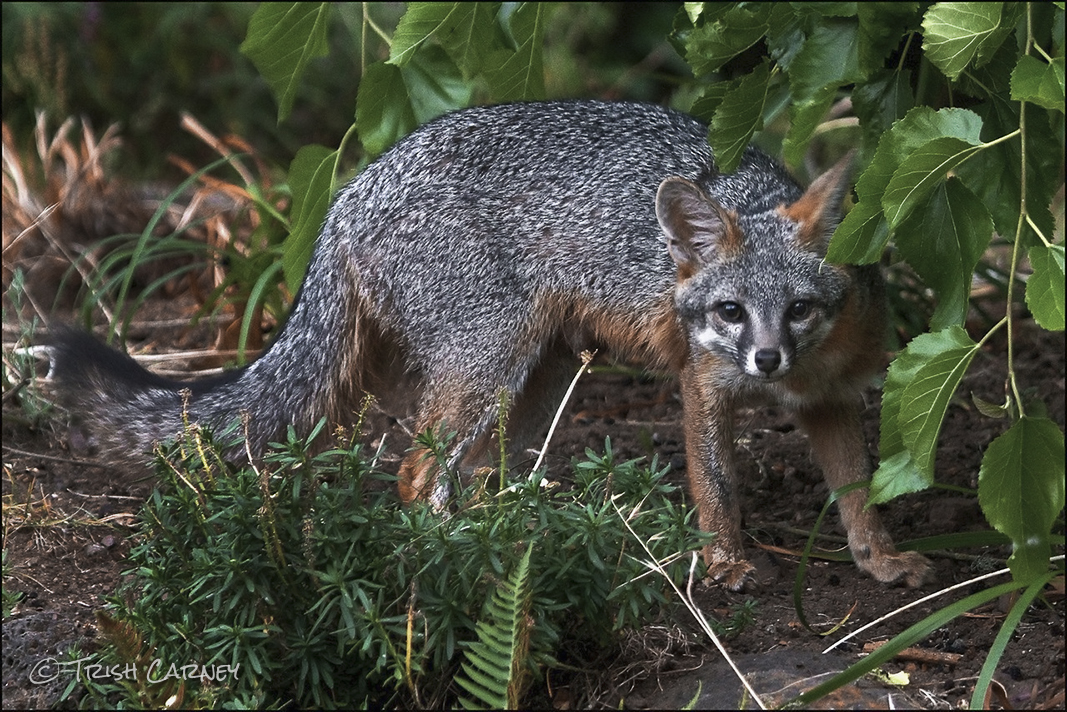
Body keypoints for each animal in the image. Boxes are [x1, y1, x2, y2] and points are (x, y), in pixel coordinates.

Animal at [54, 98, 930, 589]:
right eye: (729, 312)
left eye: (799, 310)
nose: (766, 359)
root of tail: (350, 192)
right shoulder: (703, 388)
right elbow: (717, 490)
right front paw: (725, 565)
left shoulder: (832, 399)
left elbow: (858, 491)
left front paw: (878, 560)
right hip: (488, 368)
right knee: (416, 476)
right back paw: (455, 556)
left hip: (535, 379)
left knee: (469, 477)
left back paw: (501, 542)